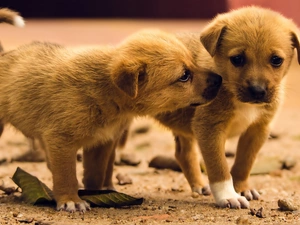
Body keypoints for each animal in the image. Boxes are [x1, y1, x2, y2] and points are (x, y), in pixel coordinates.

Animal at [0, 9, 221, 213]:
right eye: (184, 75)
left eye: (192, 62)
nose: (220, 79)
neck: (104, 89)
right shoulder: (60, 140)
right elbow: (66, 174)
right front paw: (71, 200)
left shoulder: (101, 142)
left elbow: (95, 174)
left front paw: (96, 194)